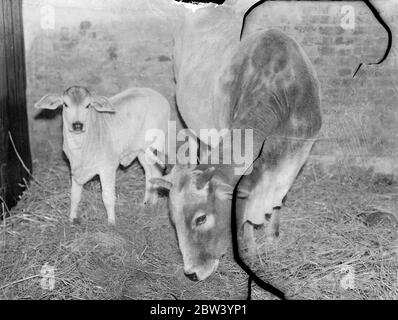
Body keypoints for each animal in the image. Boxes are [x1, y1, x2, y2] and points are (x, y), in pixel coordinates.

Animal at [34, 86, 169, 224]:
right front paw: (71, 218)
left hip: (157, 145)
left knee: (157, 171)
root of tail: (156, 94)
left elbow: (107, 197)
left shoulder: (107, 168)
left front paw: (111, 222)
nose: (77, 125)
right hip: (142, 151)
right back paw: (146, 203)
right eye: (65, 104)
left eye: (88, 105)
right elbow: (75, 196)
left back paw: (153, 202)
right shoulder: (75, 169)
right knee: (149, 172)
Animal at [151, 3, 322, 282]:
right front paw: (250, 250)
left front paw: (273, 236)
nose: (191, 273)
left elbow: (279, 196)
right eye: (173, 220)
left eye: (201, 219)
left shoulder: (297, 154)